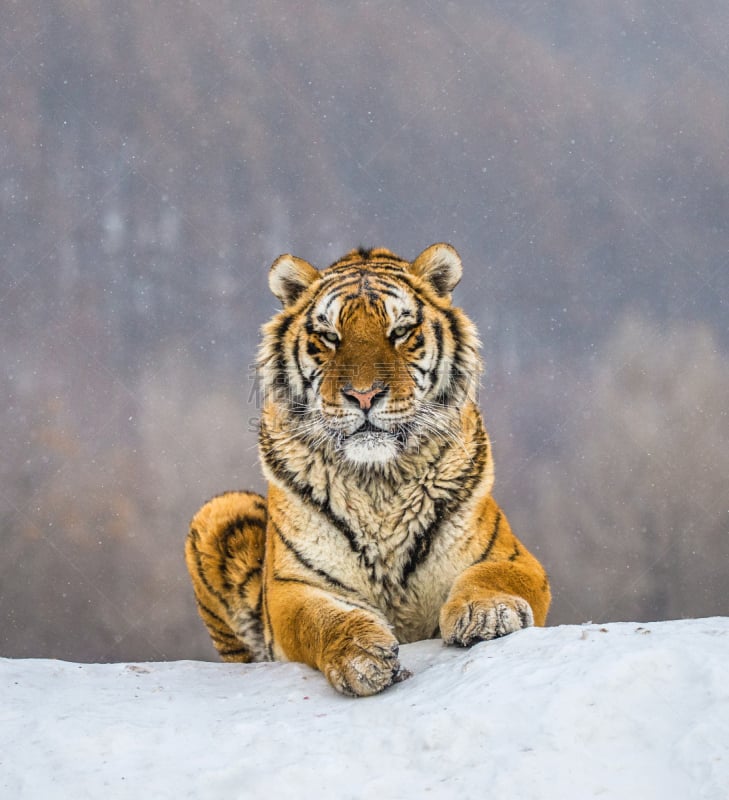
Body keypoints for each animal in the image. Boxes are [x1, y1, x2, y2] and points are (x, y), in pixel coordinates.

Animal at [185, 242, 548, 692]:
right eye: (329, 337)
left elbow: (493, 576)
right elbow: (320, 619)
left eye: (400, 332)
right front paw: (361, 654)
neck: (378, 483)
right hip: (220, 510)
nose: (363, 395)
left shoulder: (512, 556)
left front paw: (490, 613)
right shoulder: (293, 586)